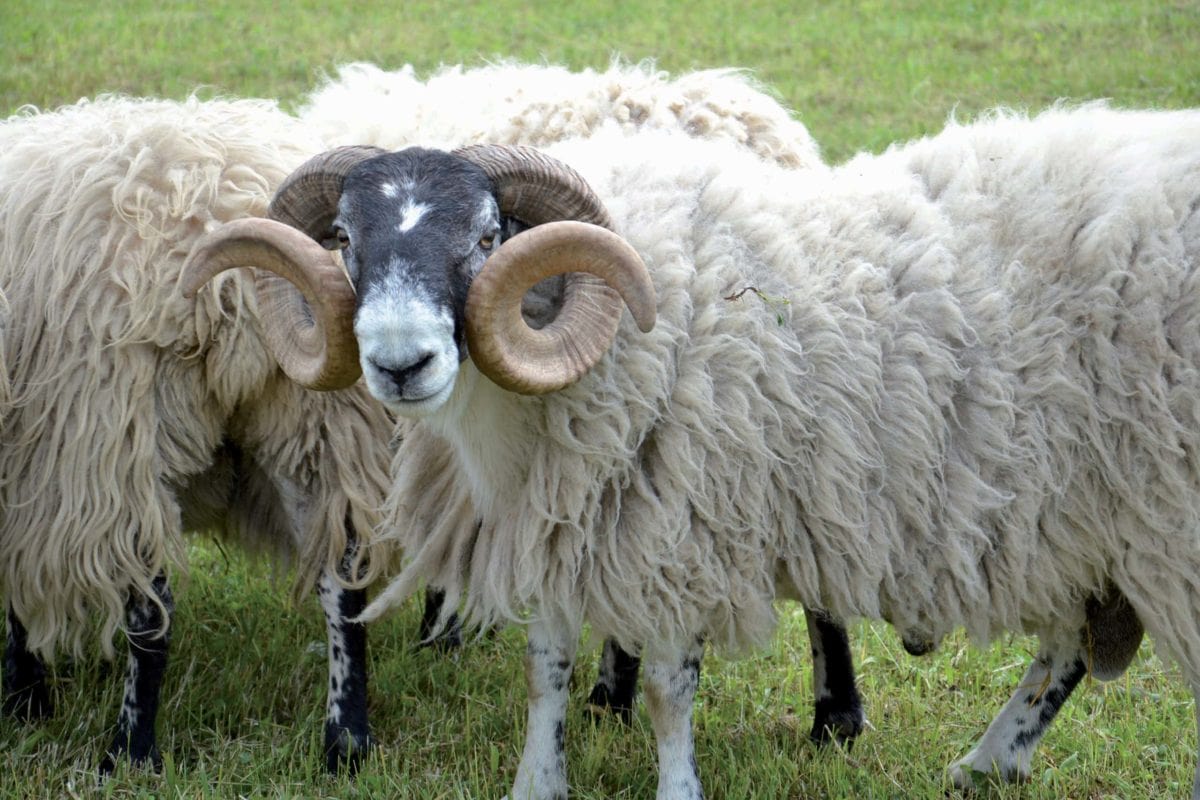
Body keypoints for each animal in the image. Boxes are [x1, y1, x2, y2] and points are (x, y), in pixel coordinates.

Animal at [187, 101, 1200, 800]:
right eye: (345, 240)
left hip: (1147, 506)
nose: (400, 363)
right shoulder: (571, 524)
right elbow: (548, 670)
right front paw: (537, 783)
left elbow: (671, 690)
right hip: (1086, 515)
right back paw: (989, 764)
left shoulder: (678, 526)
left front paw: (677, 786)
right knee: (1069, 643)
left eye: (487, 235)